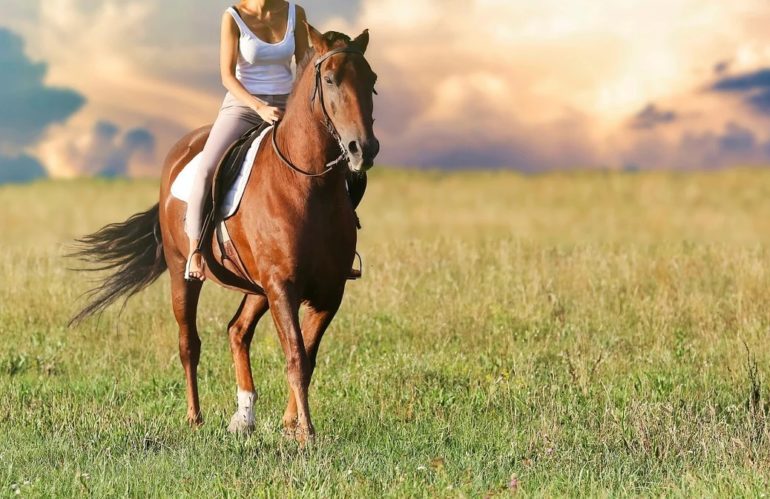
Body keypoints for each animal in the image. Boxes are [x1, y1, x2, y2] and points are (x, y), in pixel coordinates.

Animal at [70, 24, 376, 446]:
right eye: (330, 79)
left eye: (372, 80)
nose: (363, 148)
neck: (308, 185)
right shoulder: (283, 286)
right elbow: (296, 355)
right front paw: (307, 432)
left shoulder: (328, 292)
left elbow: (308, 357)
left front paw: (291, 426)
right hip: (184, 274)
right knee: (189, 343)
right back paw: (195, 418)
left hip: (256, 287)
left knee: (237, 331)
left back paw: (244, 417)